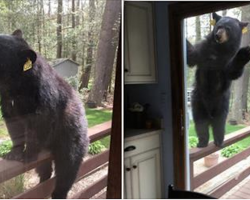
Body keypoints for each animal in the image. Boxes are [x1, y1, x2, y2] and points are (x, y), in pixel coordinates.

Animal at [0, 29, 89, 198]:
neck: (15, 85)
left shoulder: (42, 99)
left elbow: (38, 126)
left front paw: (28, 155)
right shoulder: (8, 103)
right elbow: (14, 127)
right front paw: (13, 153)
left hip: (70, 135)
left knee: (67, 168)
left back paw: (58, 192)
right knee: (44, 169)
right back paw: (41, 184)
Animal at [187, 12, 250, 147]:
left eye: (228, 28)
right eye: (218, 26)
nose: (218, 35)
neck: (219, 49)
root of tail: (209, 113)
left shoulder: (227, 59)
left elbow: (232, 71)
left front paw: (244, 53)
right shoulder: (204, 50)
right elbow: (192, 56)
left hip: (222, 103)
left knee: (219, 124)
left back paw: (219, 141)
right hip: (198, 102)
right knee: (200, 123)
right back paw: (202, 141)